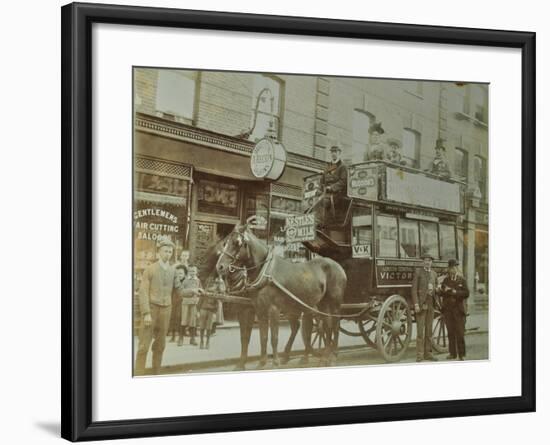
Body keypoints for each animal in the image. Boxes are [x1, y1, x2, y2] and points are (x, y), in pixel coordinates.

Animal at [218, 219, 348, 368]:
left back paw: (332, 356)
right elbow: (263, 336)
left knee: (334, 325)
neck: (266, 271)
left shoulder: (273, 309)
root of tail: (338, 266)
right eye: (225, 242)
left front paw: (275, 362)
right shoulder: (260, 309)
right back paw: (323, 357)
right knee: (325, 326)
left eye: (237, 243)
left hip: (334, 303)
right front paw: (262, 363)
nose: (220, 266)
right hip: (319, 304)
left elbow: (274, 337)